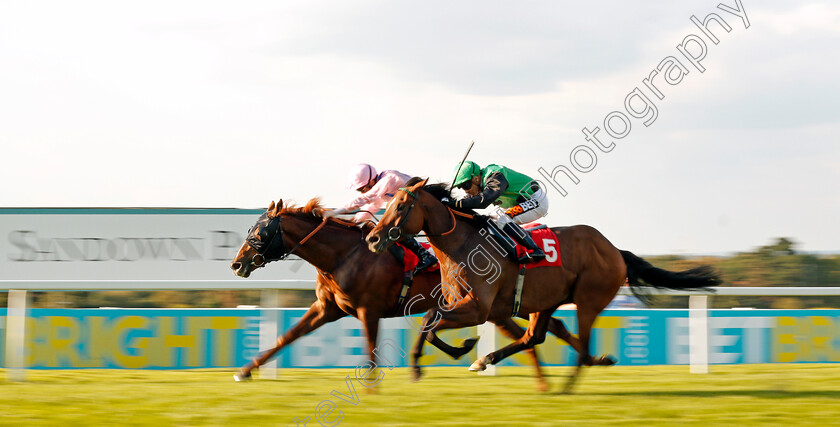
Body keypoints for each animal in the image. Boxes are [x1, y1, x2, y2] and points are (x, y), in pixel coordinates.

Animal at [226, 200, 560, 392]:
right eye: (250, 229)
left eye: (260, 233)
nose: (237, 264)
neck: (344, 255)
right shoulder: (326, 308)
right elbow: (287, 337)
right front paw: (245, 371)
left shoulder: (368, 310)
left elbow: (371, 348)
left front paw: (372, 387)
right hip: (501, 306)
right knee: (536, 331)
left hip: (494, 304)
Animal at [364, 179, 720, 392]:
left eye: (400, 206)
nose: (373, 239)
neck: (462, 245)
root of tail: (614, 250)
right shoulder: (468, 305)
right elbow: (430, 322)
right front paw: (459, 352)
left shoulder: (478, 308)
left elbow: (429, 320)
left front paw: (448, 354)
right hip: (544, 301)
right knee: (535, 336)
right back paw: (490, 360)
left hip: (588, 299)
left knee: (579, 344)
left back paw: (567, 386)